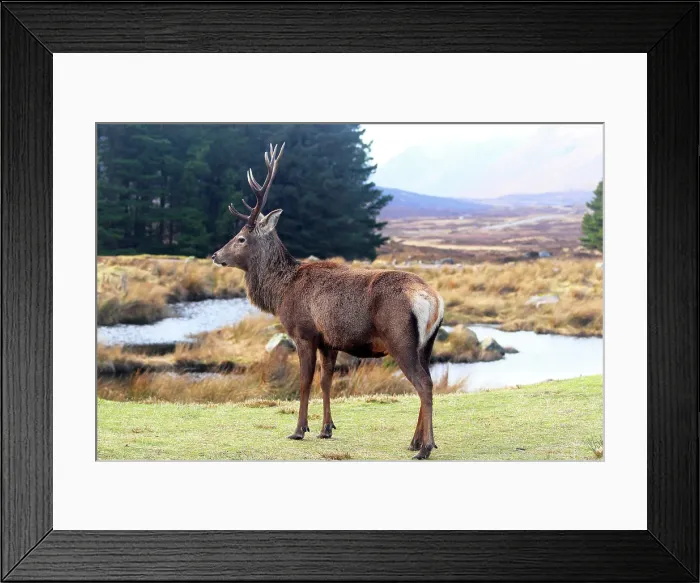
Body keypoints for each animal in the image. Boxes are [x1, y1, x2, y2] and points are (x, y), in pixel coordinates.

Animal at [212, 144, 444, 459]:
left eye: (241, 238)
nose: (215, 255)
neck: (281, 292)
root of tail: (434, 301)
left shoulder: (304, 333)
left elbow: (304, 381)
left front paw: (299, 430)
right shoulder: (329, 340)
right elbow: (326, 382)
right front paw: (326, 428)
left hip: (400, 339)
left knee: (423, 384)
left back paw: (425, 447)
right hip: (427, 345)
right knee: (428, 379)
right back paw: (415, 441)